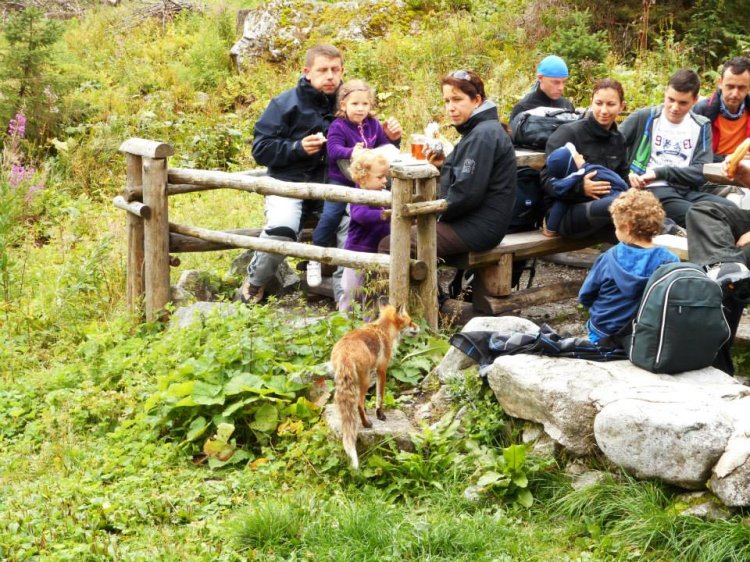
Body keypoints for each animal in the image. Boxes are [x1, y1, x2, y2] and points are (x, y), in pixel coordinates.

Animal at [332, 304, 420, 466]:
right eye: (410, 321)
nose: (418, 327)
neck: (384, 330)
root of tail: (345, 353)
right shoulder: (382, 369)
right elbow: (380, 396)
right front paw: (380, 415)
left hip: (345, 380)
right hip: (365, 379)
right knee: (358, 403)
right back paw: (366, 424)